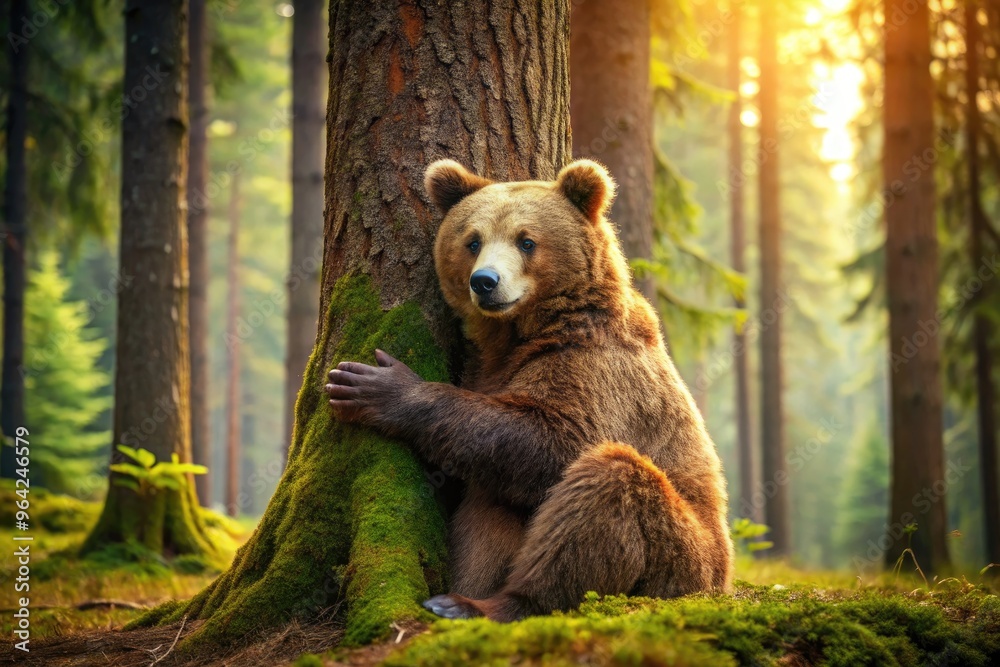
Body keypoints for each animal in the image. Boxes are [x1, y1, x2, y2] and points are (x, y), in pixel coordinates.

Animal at [325, 158, 734, 622]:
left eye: (526, 240)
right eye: (473, 240)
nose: (485, 281)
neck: (526, 331)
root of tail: (721, 579)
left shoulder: (596, 367)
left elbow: (556, 439)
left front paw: (372, 385)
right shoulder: (488, 367)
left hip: (683, 559)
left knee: (608, 484)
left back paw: (481, 603)